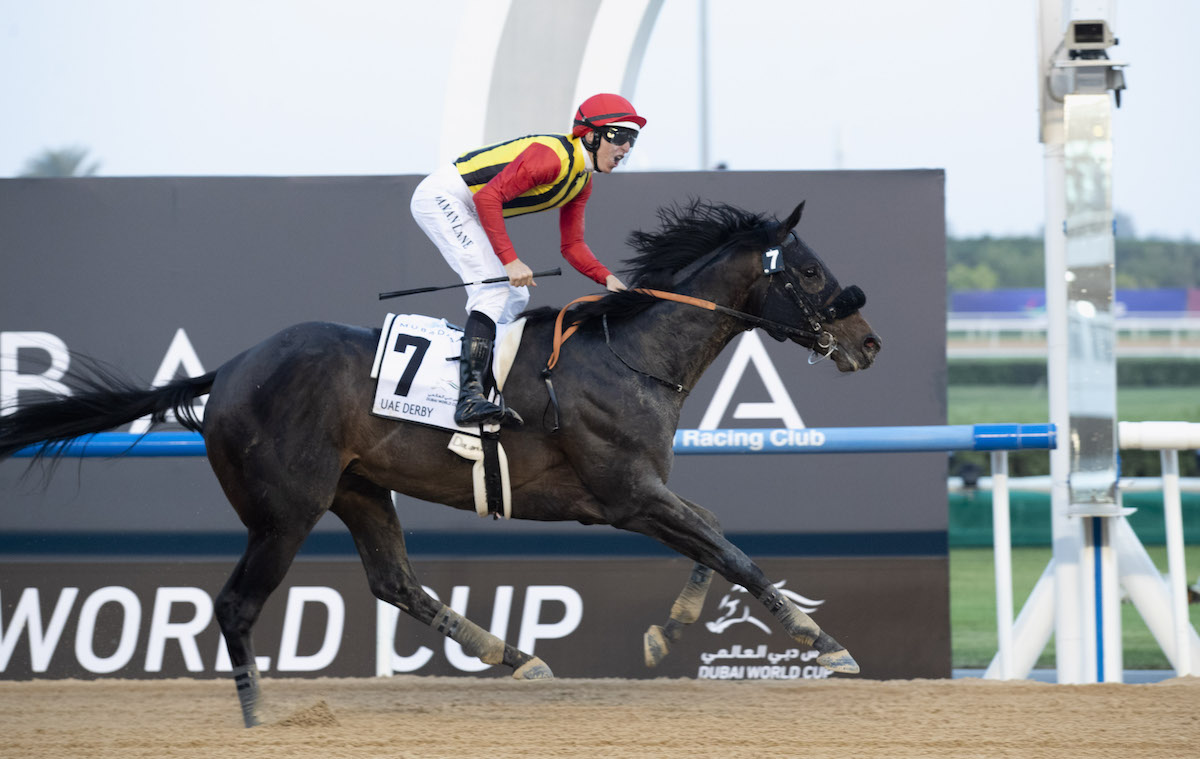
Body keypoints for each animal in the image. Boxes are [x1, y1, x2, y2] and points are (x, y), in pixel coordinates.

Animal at [0, 198, 883, 725]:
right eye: (809, 270)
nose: (867, 341)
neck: (629, 355)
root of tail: (232, 368)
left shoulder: (641, 491)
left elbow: (714, 539)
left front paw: (669, 631)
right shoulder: (625, 493)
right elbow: (731, 549)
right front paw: (823, 640)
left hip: (360, 490)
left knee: (396, 582)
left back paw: (515, 655)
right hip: (284, 511)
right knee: (235, 605)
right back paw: (258, 719)